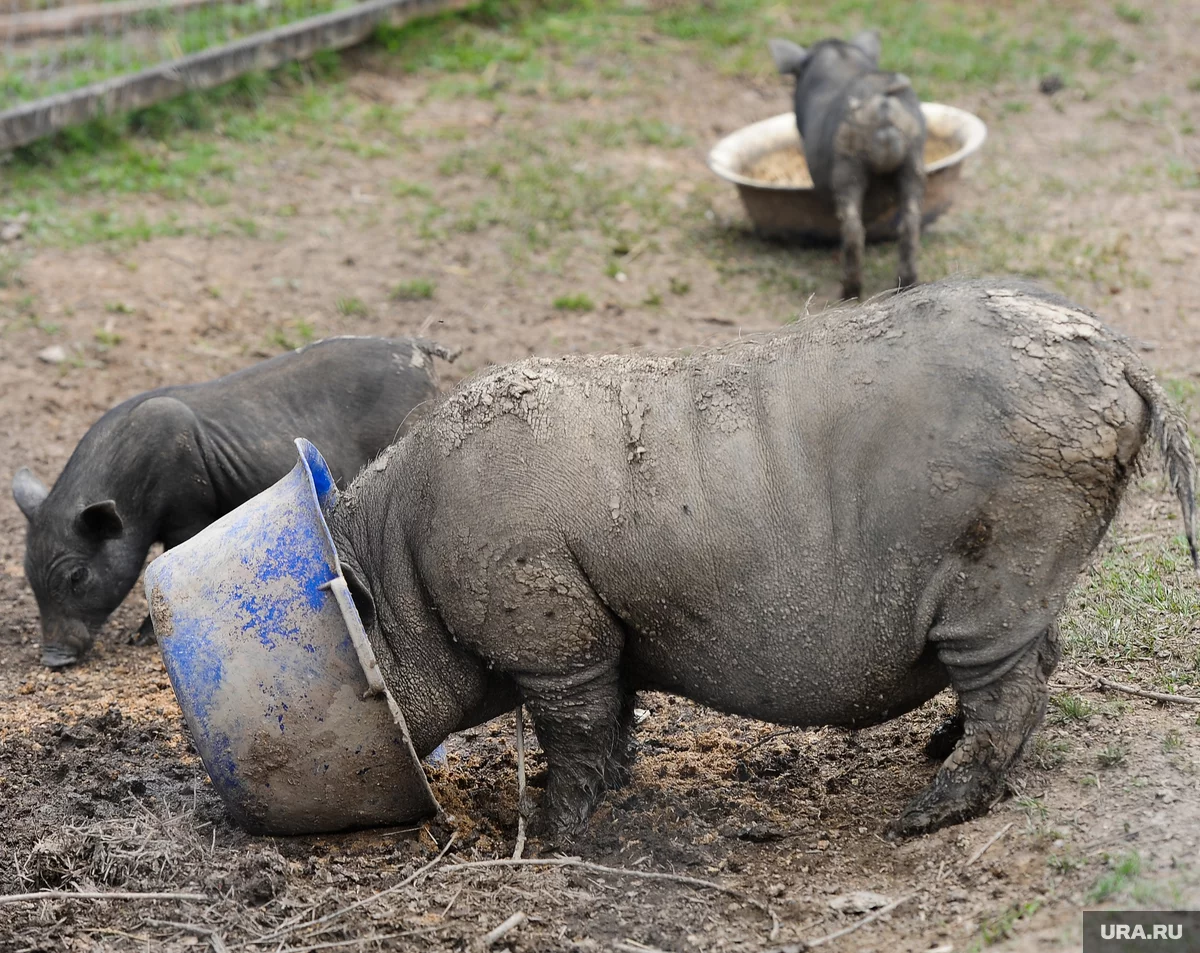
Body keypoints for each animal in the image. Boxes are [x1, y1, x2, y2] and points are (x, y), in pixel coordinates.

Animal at [12, 338, 453, 662]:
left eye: (76, 576)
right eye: (30, 576)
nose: (52, 658)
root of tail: (415, 346)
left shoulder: (189, 512)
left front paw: (143, 639)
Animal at [324, 278, 1195, 844]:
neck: (396, 565)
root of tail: (1122, 361)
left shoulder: (549, 630)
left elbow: (575, 727)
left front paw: (548, 833)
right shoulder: (605, 632)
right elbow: (616, 712)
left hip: (1008, 542)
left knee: (1008, 681)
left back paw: (919, 816)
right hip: (1029, 561)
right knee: (1037, 654)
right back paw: (934, 752)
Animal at [768, 30, 926, 297]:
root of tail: (882, 103)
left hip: (848, 165)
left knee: (853, 228)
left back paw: (849, 291)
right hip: (913, 160)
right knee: (910, 222)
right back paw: (906, 284)